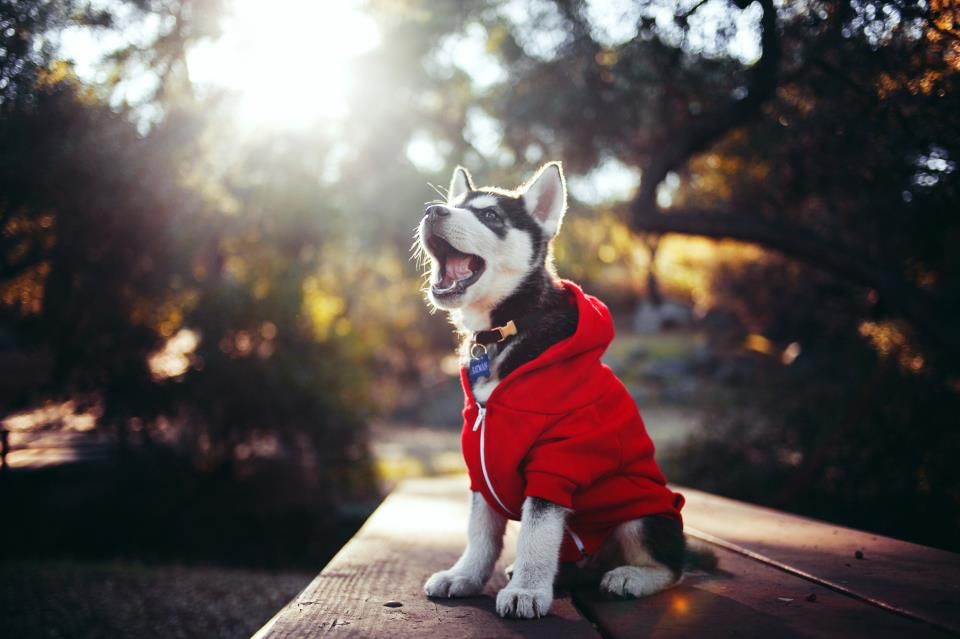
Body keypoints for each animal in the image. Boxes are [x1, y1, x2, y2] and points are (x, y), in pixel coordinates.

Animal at [416, 164, 708, 620]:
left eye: (490, 216)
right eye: (456, 205)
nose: (432, 211)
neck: (504, 330)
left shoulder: (558, 458)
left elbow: (537, 533)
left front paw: (527, 590)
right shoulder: (480, 462)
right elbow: (481, 532)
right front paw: (465, 575)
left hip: (645, 516)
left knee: (673, 569)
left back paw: (632, 576)